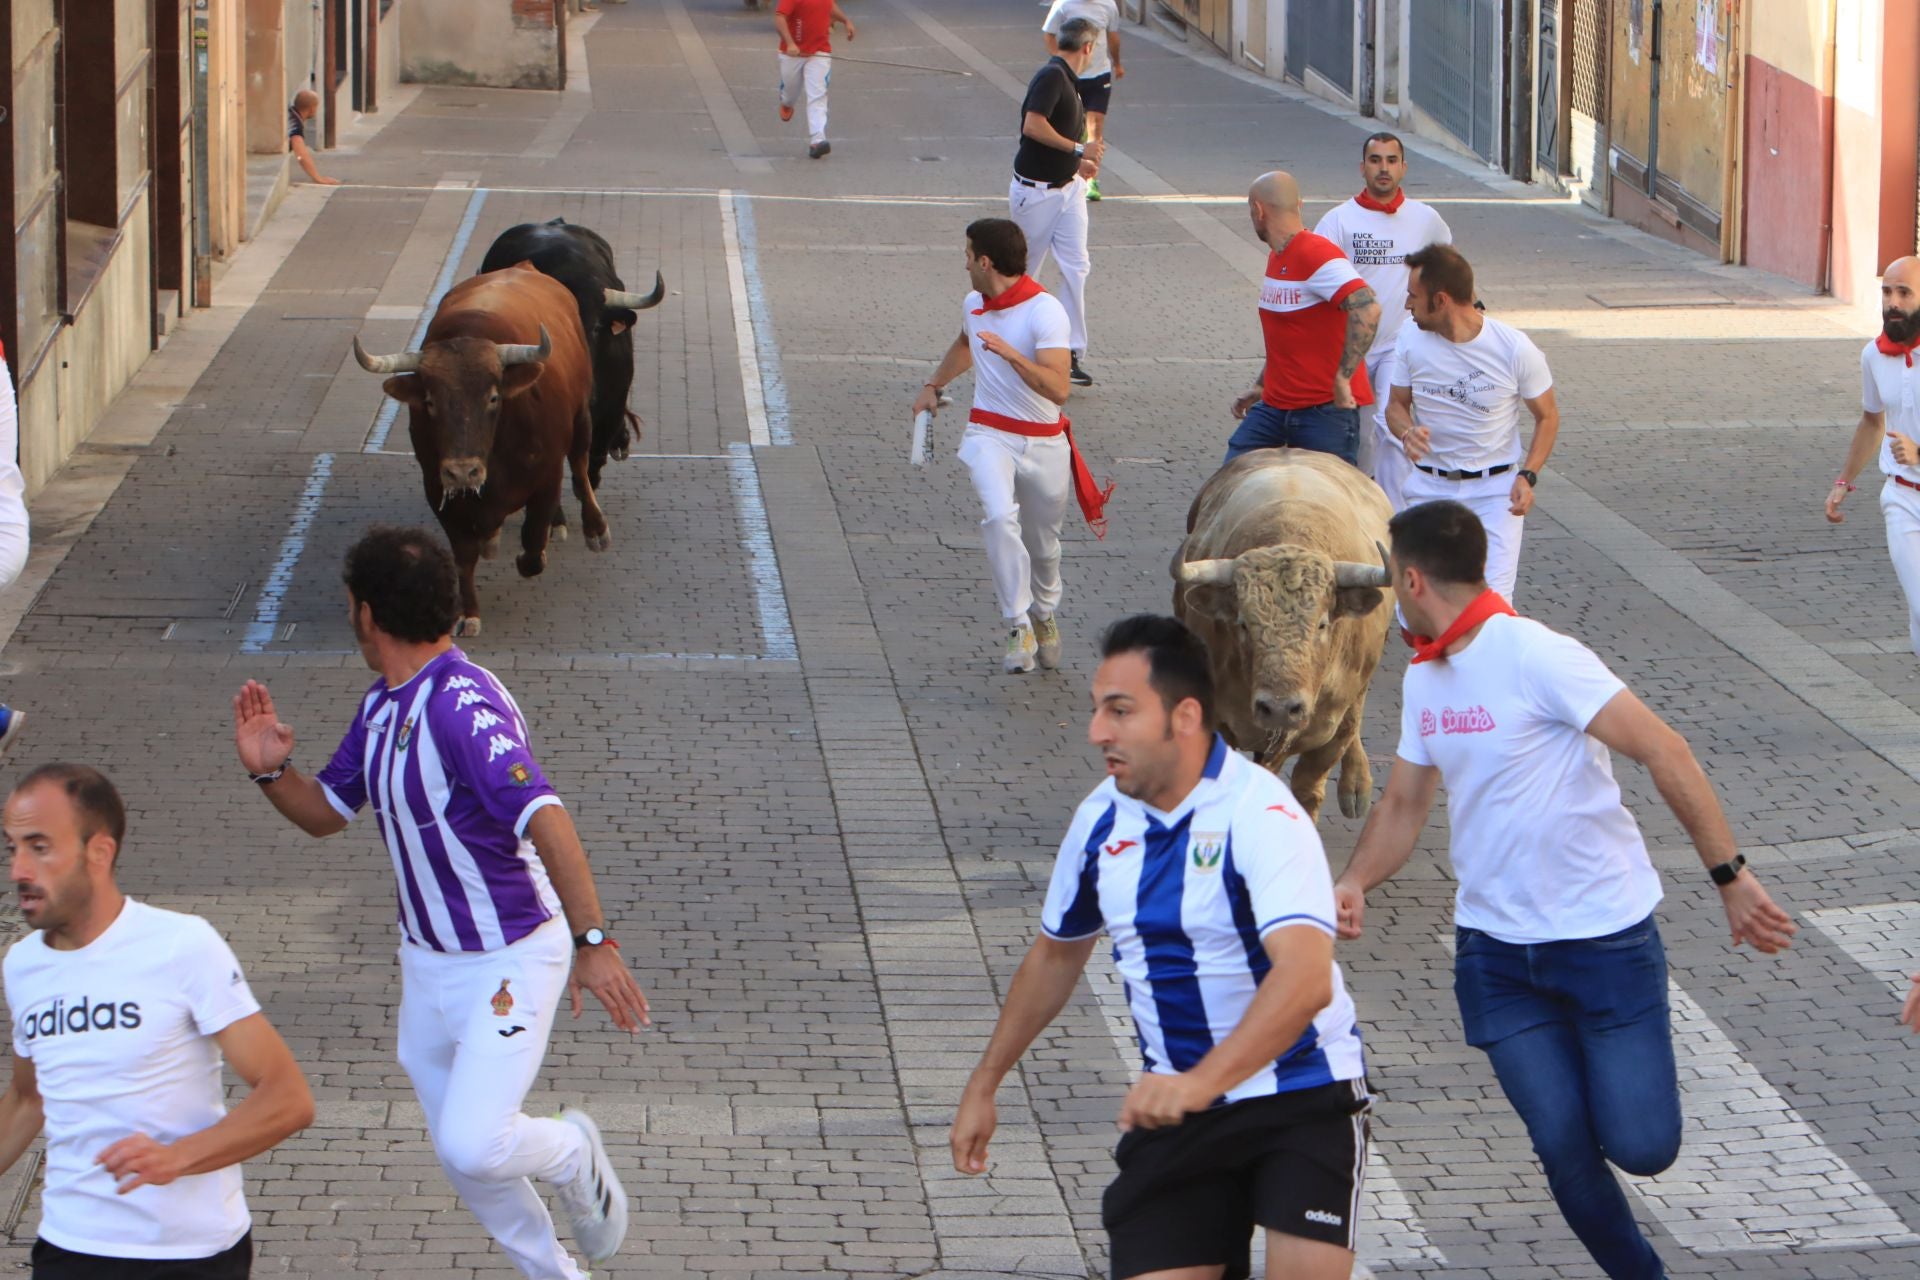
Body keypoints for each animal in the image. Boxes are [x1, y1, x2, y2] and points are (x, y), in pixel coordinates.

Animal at [355, 264, 606, 637]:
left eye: (493, 397)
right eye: (429, 401)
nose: (463, 471)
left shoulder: (547, 476)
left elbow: (533, 541)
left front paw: (531, 555)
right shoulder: (438, 488)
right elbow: (463, 556)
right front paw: (468, 613)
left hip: (581, 418)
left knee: (579, 465)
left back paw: (594, 530)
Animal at [1167, 452, 1397, 821]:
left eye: (1322, 624)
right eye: (1243, 624)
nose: (1279, 707)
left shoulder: (1329, 733)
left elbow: (1307, 789)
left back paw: (1355, 786)